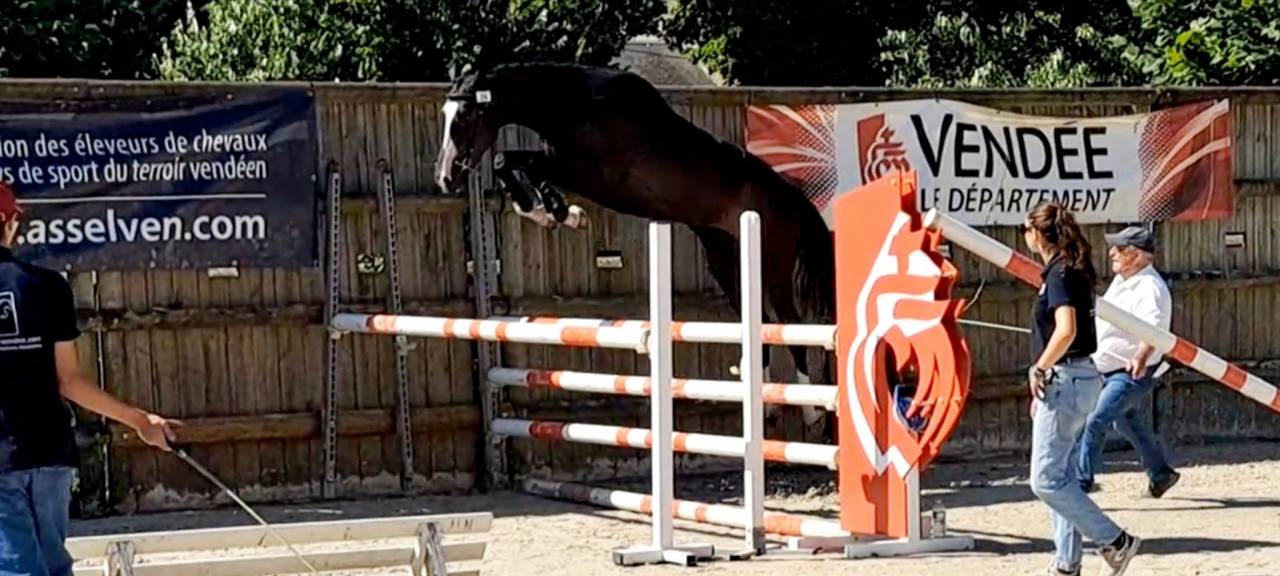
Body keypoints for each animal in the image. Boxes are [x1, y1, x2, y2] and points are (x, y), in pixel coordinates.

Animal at [433, 62, 837, 435]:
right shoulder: (563, 163)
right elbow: (512, 161)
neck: (578, 105)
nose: (445, 177)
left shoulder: (590, 174)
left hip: (772, 264)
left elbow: (519, 162)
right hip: (727, 261)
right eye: (445, 115)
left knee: (791, 326)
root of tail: (787, 196)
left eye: (465, 115)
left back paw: (810, 411)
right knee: (761, 326)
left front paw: (561, 213)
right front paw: (554, 212)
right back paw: (766, 407)